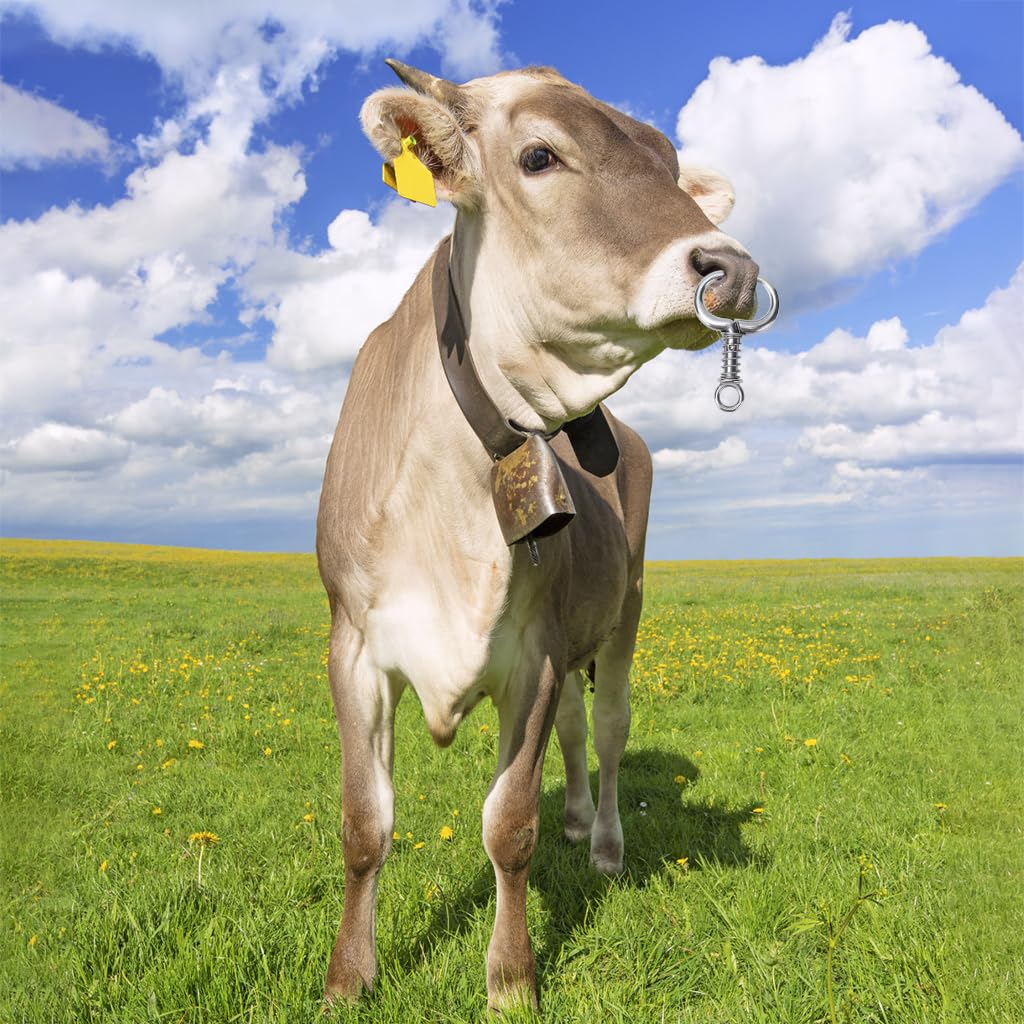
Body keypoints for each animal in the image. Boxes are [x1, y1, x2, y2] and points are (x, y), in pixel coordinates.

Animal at [316, 59, 761, 1010]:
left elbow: (507, 826)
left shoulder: (539, 652)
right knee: (575, 739)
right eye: (539, 156)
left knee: (610, 731)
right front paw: (348, 978)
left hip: (626, 612)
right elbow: (365, 823)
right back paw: (577, 818)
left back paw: (605, 844)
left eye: (673, 168)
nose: (733, 267)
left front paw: (512, 978)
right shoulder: (354, 647)